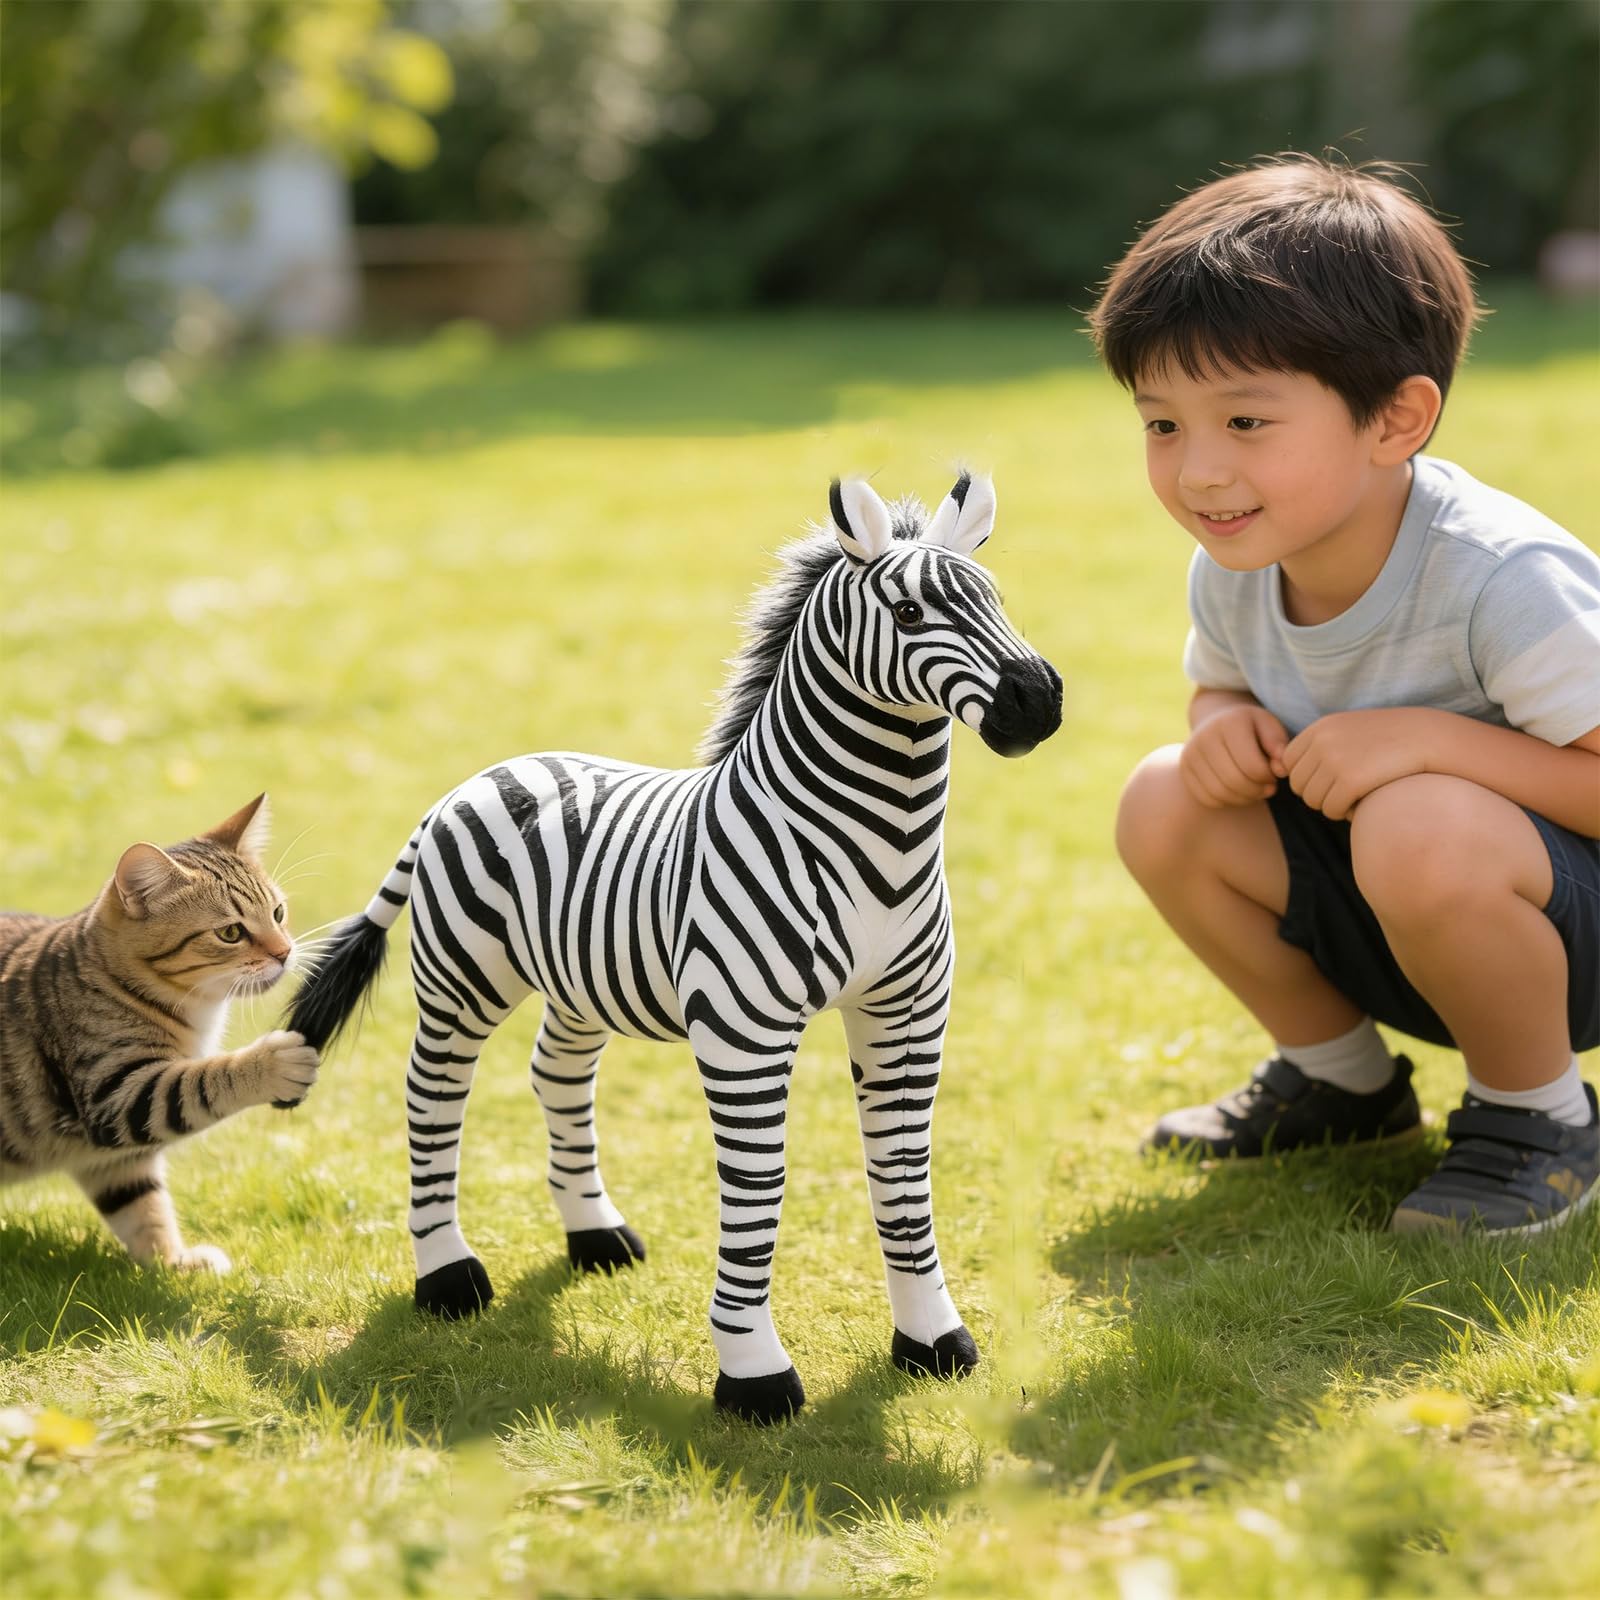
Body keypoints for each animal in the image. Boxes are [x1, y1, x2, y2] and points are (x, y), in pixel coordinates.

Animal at [288, 472, 1062, 1424]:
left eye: (997, 600)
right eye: (911, 611)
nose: (1040, 699)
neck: (877, 844)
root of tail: (472, 782)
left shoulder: (909, 1012)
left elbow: (904, 1171)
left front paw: (932, 1339)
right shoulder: (744, 1034)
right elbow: (760, 1186)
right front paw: (753, 1371)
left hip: (578, 982)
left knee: (555, 1076)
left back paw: (594, 1236)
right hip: (463, 979)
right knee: (431, 1097)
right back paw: (449, 1279)